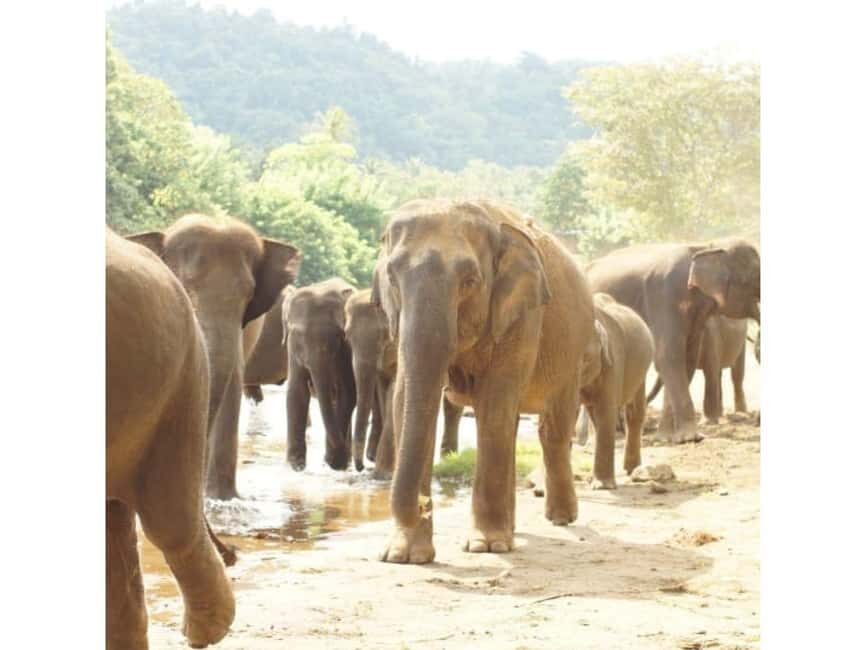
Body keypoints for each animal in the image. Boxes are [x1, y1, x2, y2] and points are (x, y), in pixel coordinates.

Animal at [283, 277, 358, 470]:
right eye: (298, 336)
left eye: (336, 336)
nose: (326, 460)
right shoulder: (291, 348)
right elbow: (297, 391)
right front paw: (295, 466)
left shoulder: (345, 350)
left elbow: (346, 392)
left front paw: (335, 462)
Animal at [372, 199, 594, 564]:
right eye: (391, 277)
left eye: (470, 280)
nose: (423, 506)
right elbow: (405, 400)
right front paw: (403, 556)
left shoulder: (522, 314)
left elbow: (494, 402)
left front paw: (487, 547)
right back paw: (514, 530)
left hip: (572, 349)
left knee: (553, 429)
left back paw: (560, 518)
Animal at [585, 238, 760, 443]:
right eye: (751, 281)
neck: (707, 247)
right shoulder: (665, 297)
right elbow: (669, 357)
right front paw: (692, 437)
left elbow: (687, 359)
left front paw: (667, 437)